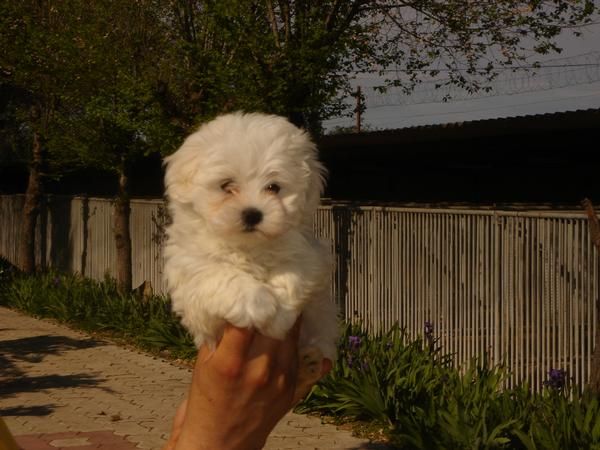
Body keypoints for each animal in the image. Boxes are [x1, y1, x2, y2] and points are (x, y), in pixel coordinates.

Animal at [162, 111, 340, 380]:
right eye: (227, 186)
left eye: (273, 187)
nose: (252, 214)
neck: (249, 247)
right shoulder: (189, 269)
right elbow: (217, 273)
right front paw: (258, 303)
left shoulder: (311, 254)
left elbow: (293, 273)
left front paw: (279, 316)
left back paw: (310, 360)